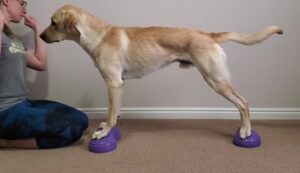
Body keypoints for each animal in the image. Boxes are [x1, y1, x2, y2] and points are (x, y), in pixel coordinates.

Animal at [41, 4, 282, 140]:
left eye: (53, 22)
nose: (41, 37)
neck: (98, 36)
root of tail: (208, 34)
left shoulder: (112, 83)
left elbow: (110, 114)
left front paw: (104, 131)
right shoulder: (120, 84)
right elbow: (115, 111)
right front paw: (108, 125)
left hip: (216, 79)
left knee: (243, 103)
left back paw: (245, 131)